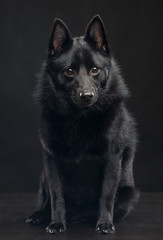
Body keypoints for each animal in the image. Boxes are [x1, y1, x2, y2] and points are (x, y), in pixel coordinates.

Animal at [26, 15, 140, 234]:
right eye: (69, 71)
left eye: (94, 70)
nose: (87, 96)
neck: (78, 118)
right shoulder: (52, 159)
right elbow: (57, 196)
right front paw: (57, 223)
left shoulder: (112, 158)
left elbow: (106, 195)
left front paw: (104, 223)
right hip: (43, 176)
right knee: (48, 199)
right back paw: (40, 215)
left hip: (129, 193)